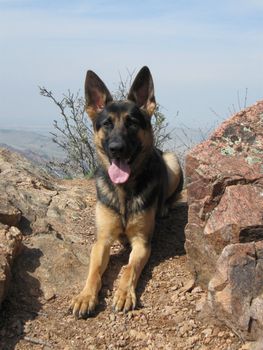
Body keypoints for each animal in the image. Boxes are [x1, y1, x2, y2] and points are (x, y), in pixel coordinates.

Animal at [71, 65, 184, 318]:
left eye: (132, 123)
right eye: (107, 124)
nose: (116, 149)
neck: (123, 192)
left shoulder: (142, 243)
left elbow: (128, 268)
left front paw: (124, 293)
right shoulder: (101, 241)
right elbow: (94, 271)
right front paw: (85, 296)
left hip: (172, 160)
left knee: (171, 197)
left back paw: (164, 207)